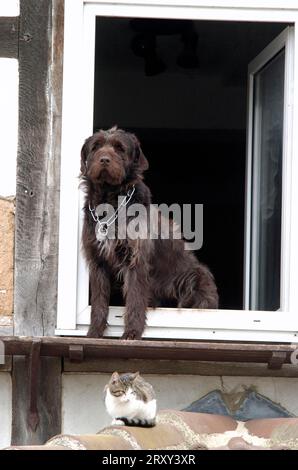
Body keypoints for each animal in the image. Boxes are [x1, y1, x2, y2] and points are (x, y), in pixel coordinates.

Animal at [80, 126, 218, 340]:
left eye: (119, 148)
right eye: (96, 147)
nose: (104, 159)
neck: (110, 199)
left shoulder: (136, 259)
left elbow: (135, 298)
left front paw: (132, 332)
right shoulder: (97, 262)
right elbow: (99, 301)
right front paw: (94, 332)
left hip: (195, 276)